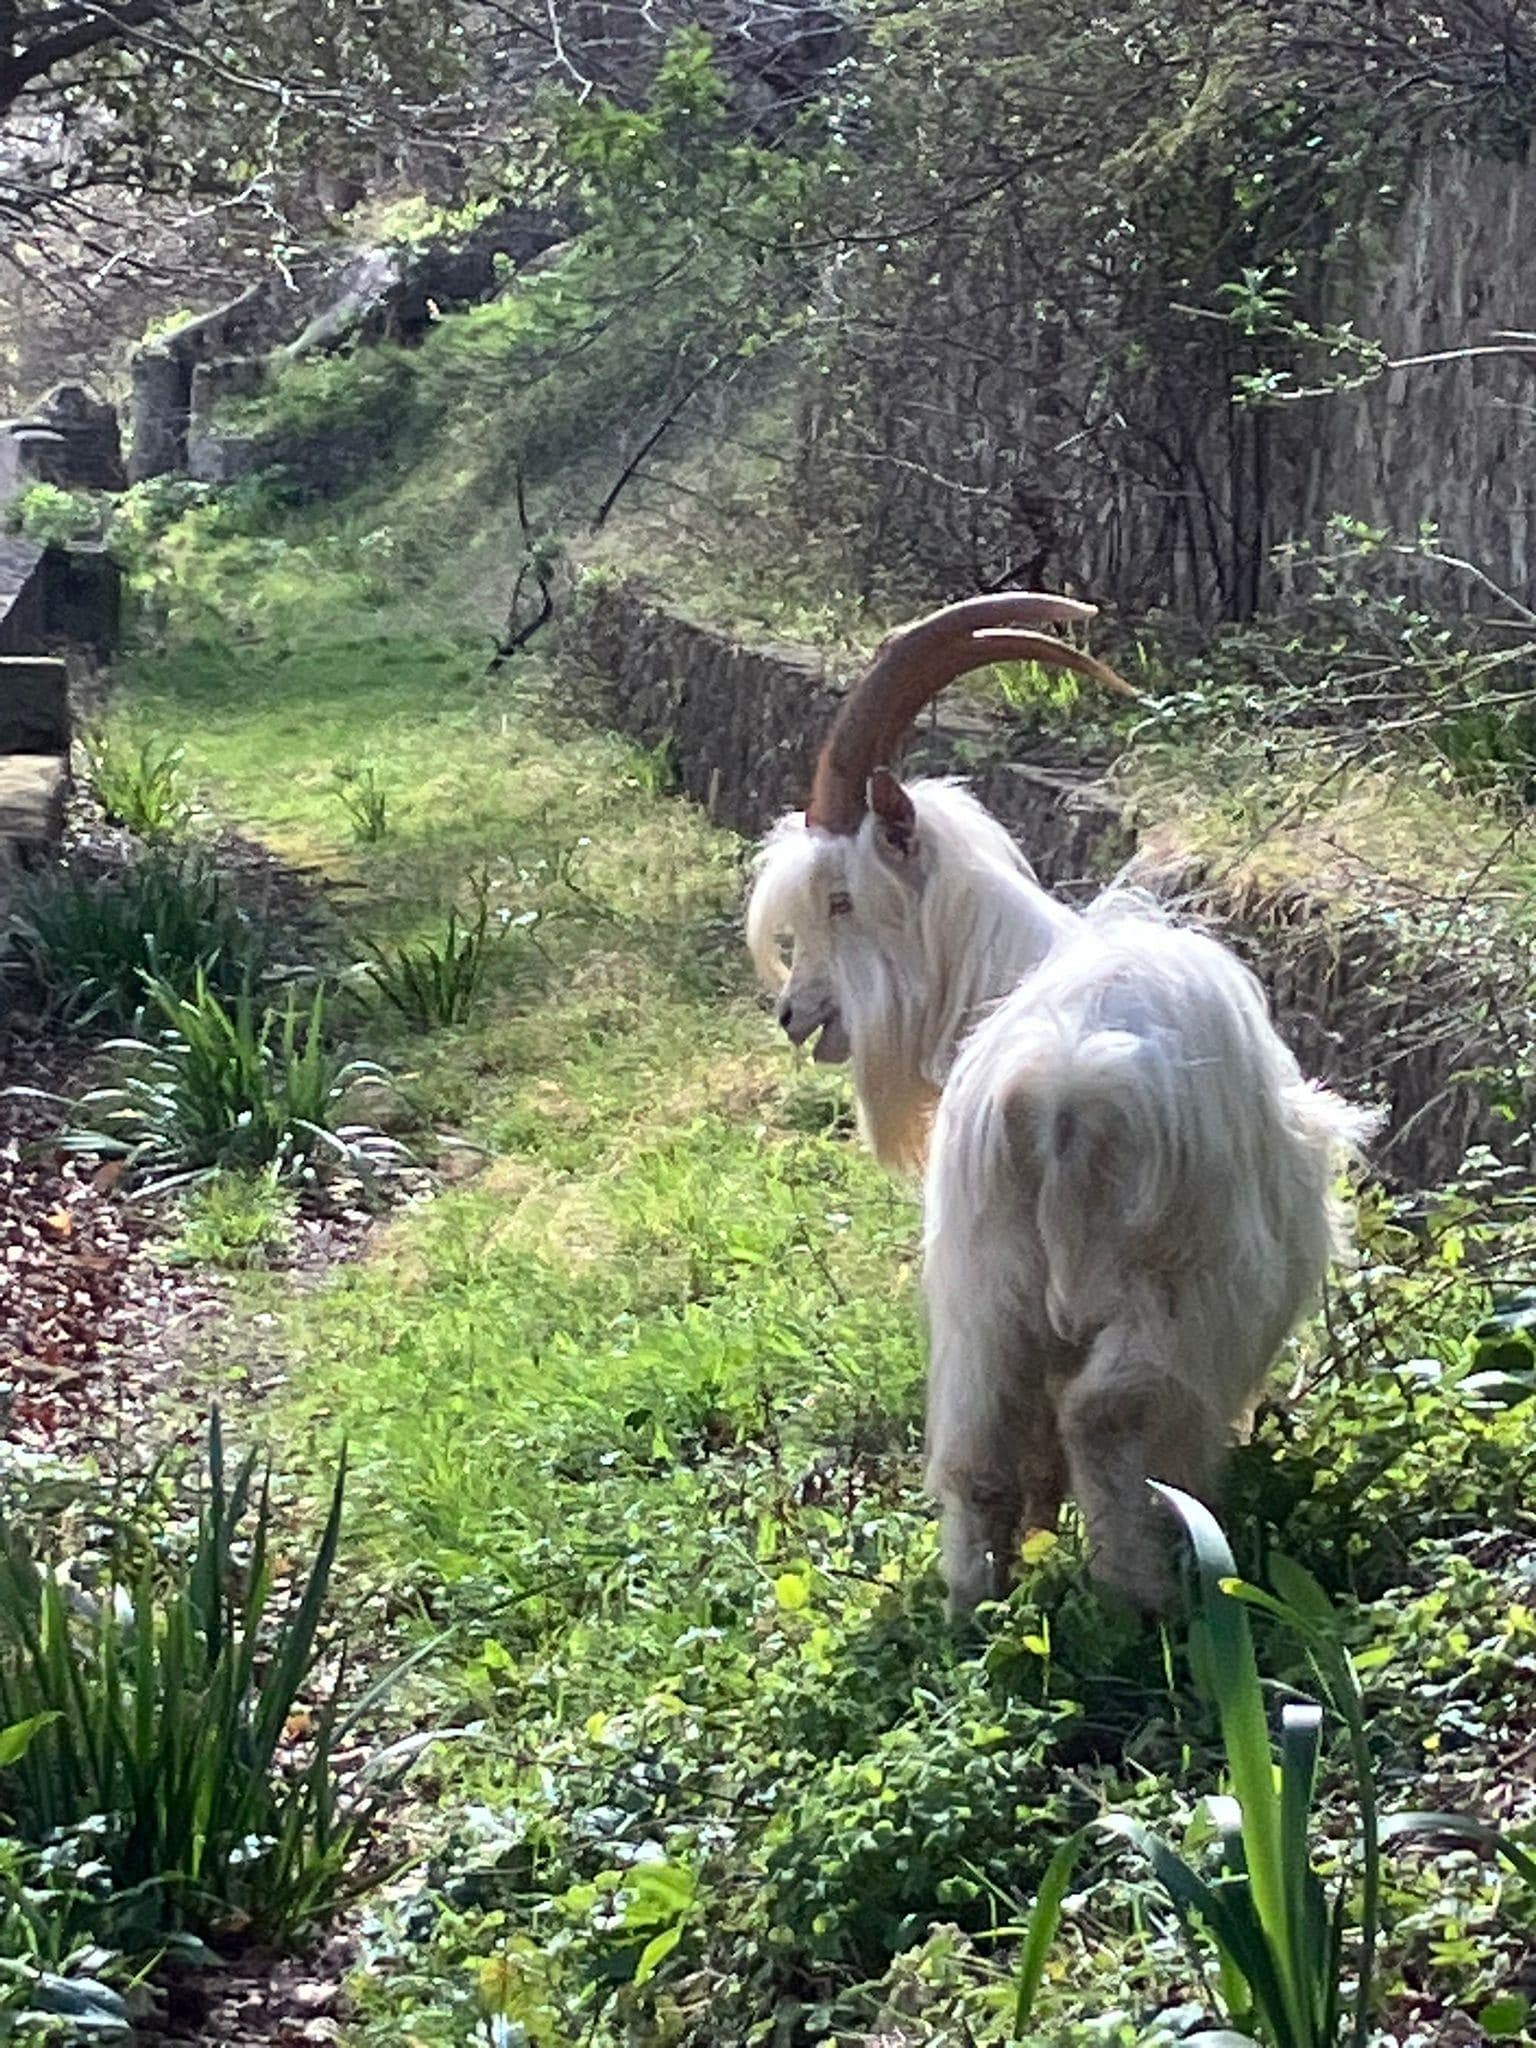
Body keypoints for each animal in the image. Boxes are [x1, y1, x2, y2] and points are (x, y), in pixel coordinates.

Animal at [747, 594, 1378, 1614]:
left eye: (841, 899)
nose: (793, 1014)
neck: (1010, 968)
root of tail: (1061, 1093)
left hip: (984, 1290)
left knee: (979, 1456)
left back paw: (981, 1610)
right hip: (1174, 1291)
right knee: (1109, 1422)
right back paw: (1146, 1597)